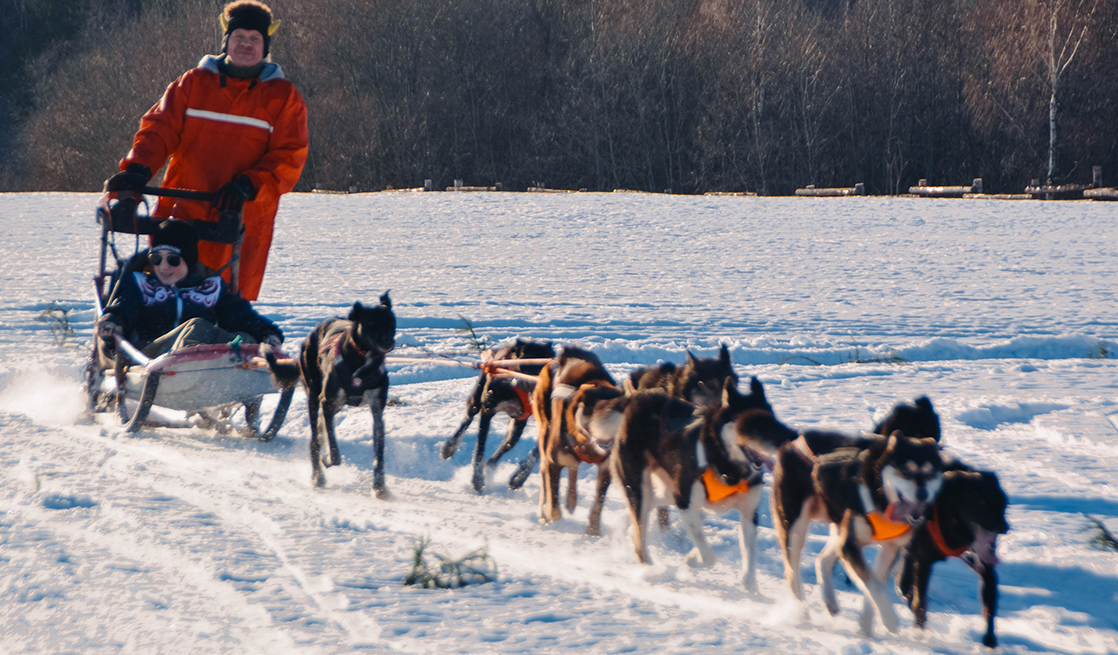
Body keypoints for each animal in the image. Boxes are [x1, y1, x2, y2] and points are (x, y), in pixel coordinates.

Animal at [264, 290, 398, 494]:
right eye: (371, 323)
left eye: (391, 323)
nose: (389, 342)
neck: (362, 361)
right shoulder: (327, 402)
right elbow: (334, 452)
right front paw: (327, 459)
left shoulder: (377, 411)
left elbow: (379, 453)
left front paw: (379, 487)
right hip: (313, 395)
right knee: (315, 440)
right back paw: (317, 476)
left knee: (320, 431)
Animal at [440, 337, 554, 489]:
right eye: (530, 363)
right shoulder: (488, 409)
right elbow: (479, 448)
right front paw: (477, 479)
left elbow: (536, 454)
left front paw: (519, 477)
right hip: (477, 398)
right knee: (468, 418)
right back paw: (449, 447)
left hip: (517, 426)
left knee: (503, 447)